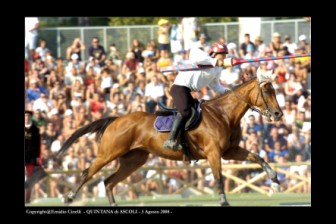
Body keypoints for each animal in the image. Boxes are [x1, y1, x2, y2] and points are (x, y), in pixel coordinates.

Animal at [59, 72, 282, 206]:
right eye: (267, 91)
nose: (278, 114)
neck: (223, 114)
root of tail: (117, 119)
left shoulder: (229, 151)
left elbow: (257, 157)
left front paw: (274, 179)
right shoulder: (214, 152)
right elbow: (218, 177)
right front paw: (223, 201)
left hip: (134, 160)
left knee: (108, 181)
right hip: (109, 152)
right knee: (88, 172)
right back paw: (69, 197)